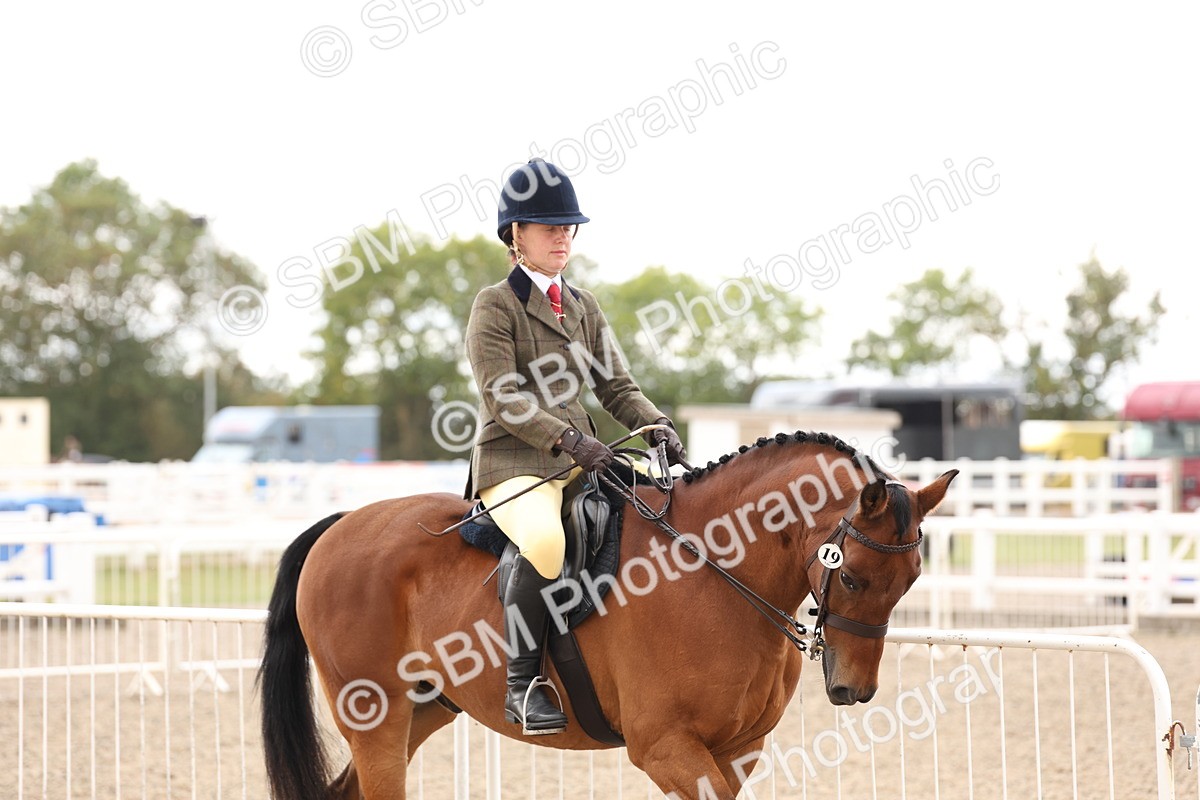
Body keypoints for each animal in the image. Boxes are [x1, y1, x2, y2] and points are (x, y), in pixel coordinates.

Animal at [258, 431, 958, 799]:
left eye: (911, 581)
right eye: (855, 576)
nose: (853, 690)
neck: (714, 571)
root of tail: (341, 524)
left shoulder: (737, 751)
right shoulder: (666, 747)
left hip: (424, 709)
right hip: (374, 714)